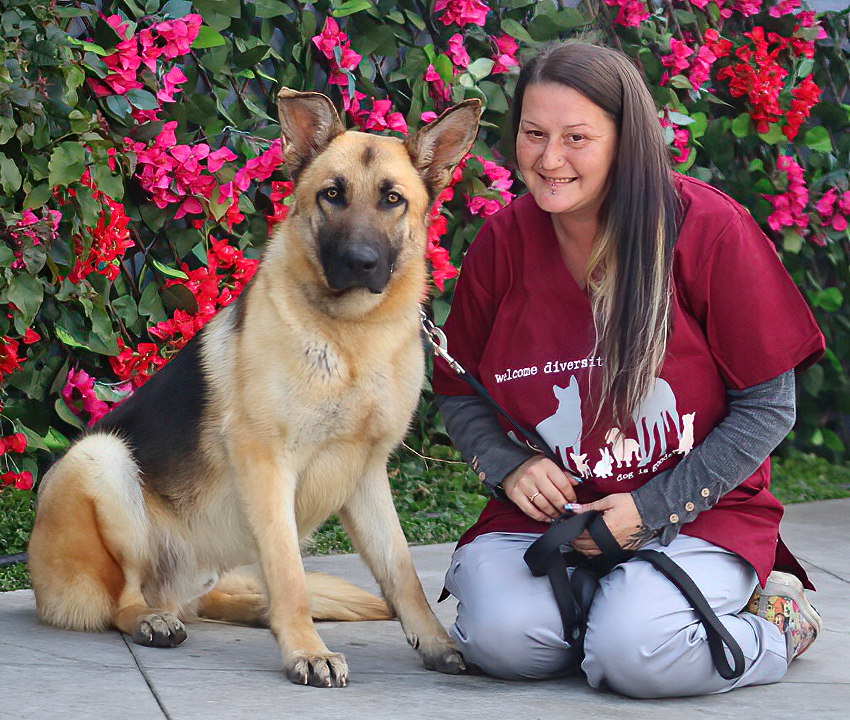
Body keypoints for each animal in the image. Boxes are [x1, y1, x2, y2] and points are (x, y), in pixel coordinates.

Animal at [28, 88, 476, 688]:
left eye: (392, 199)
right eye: (332, 194)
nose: (359, 263)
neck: (349, 336)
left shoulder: (367, 475)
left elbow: (402, 572)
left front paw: (434, 642)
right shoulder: (267, 466)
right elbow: (288, 572)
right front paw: (306, 651)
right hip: (100, 460)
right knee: (125, 598)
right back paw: (153, 619)